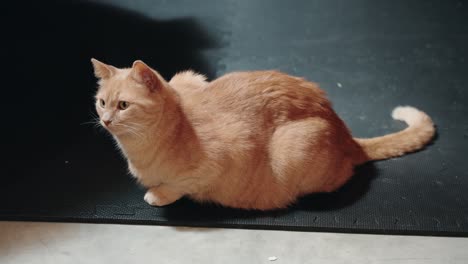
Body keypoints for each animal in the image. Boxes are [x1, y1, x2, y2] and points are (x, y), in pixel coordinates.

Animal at [90, 58, 436, 210]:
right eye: (101, 102)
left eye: (123, 105)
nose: (105, 121)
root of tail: (345, 134)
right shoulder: (190, 77)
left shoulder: (222, 159)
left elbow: (177, 185)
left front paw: (157, 194)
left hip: (297, 147)